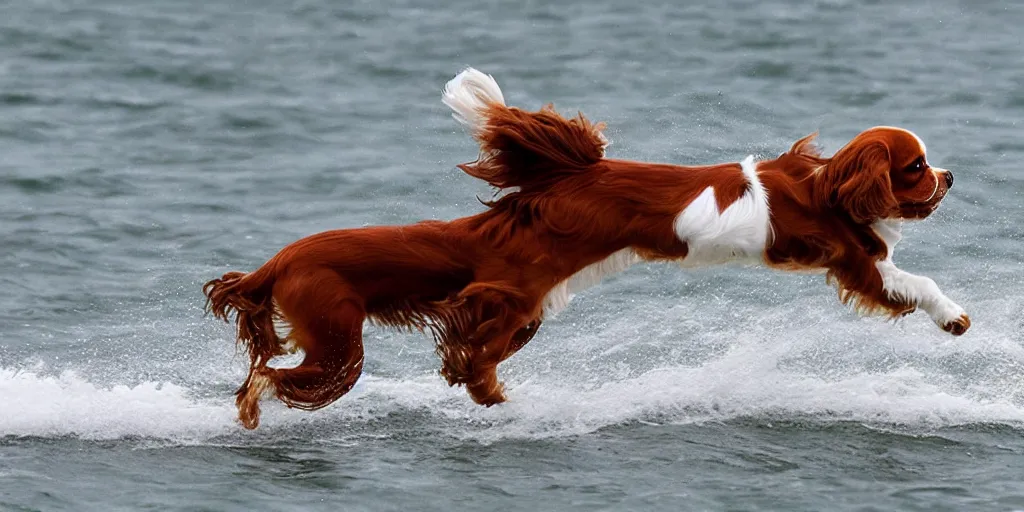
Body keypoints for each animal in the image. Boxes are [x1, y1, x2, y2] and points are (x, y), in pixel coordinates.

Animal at [201, 67, 966, 428]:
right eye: (916, 166)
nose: (952, 176)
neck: (828, 186)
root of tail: (562, 178)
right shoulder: (857, 262)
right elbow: (917, 286)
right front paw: (955, 319)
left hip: (521, 306)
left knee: (468, 354)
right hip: (436, 319)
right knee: (449, 360)